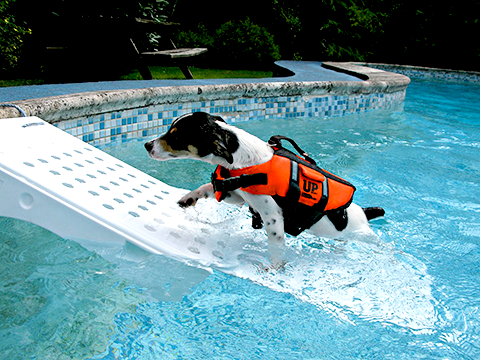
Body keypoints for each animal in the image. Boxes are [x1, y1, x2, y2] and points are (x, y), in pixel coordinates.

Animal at [144, 112, 384, 268]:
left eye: (176, 136)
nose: (147, 145)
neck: (246, 160)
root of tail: (364, 214)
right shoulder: (236, 195)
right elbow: (207, 187)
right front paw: (188, 198)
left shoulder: (273, 217)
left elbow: (276, 246)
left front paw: (277, 268)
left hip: (364, 235)